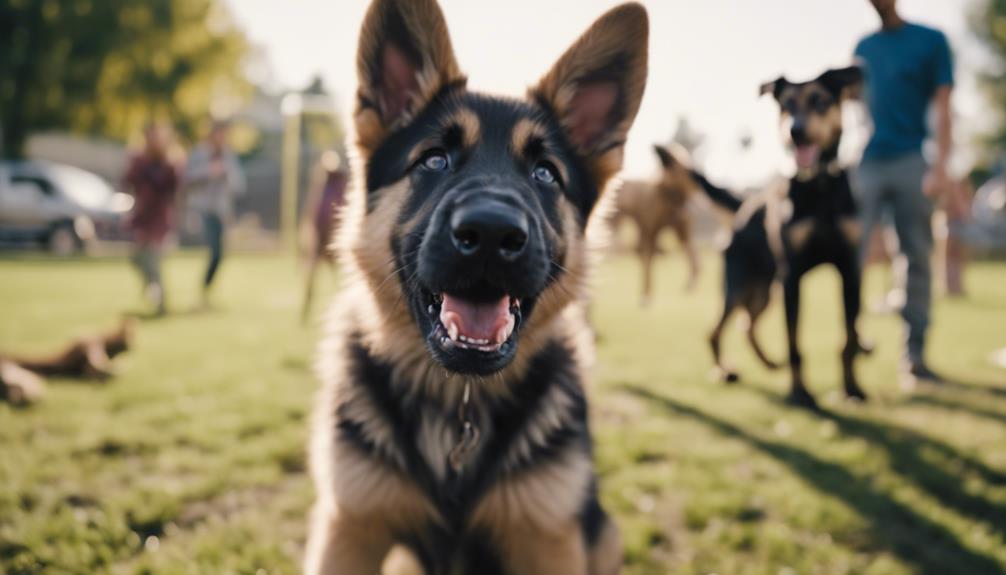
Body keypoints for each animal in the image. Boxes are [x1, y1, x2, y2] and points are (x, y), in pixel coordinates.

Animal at [611, 144, 700, 305]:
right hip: (626, 224)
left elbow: (694, 258)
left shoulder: (683, 233)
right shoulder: (651, 232)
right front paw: (646, 295)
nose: (657, 147)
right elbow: (648, 264)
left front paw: (692, 282)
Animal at [688, 67, 869, 408]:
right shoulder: (792, 276)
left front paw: (852, 389)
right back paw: (724, 370)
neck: (819, 187)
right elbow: (794, 342)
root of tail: (745, 206)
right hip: (741, 286)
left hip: (764, 291)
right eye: (786, 105)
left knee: (747, 325)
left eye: (820, 101)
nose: (795, 131)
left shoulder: (850, 271)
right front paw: (799, 393)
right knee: (715, 330)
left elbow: (849, 338)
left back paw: (770, 363)